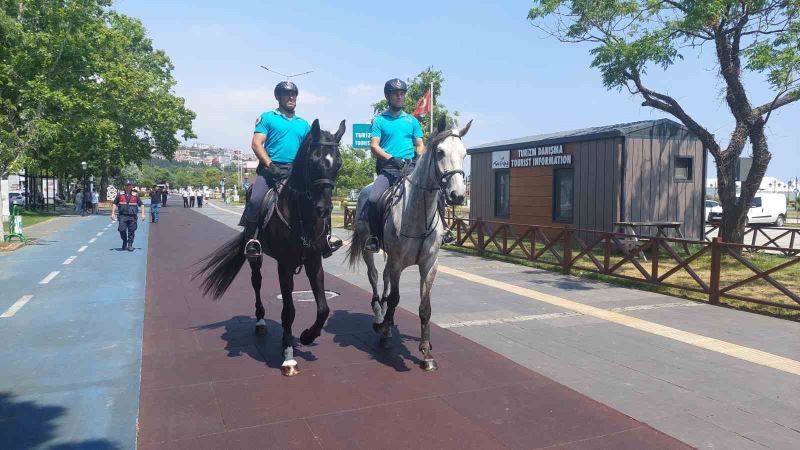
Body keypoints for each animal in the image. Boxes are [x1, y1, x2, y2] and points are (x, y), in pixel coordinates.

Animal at [195, 118, 346, 376]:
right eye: (314, 161)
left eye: (338, 163)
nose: (325, 209)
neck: (300, 212)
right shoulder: (284, 265)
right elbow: (288, 310)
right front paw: (288, 356)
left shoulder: (314, 262)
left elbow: (323, 308)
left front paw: (307, 336)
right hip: (256, 257)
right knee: (256, 283)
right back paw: (260, 321)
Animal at [346, 118, 472, 370]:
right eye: (440, 152)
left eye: (464, 154)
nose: (457, 196)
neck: (417, 214)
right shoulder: (397, 262)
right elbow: (395, 298)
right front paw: (385, 330)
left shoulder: (429, 265)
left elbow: (425, 307)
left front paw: (426, 352)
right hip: (368, 248)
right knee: (375, 277)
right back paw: (379, 317)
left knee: (384, 279)